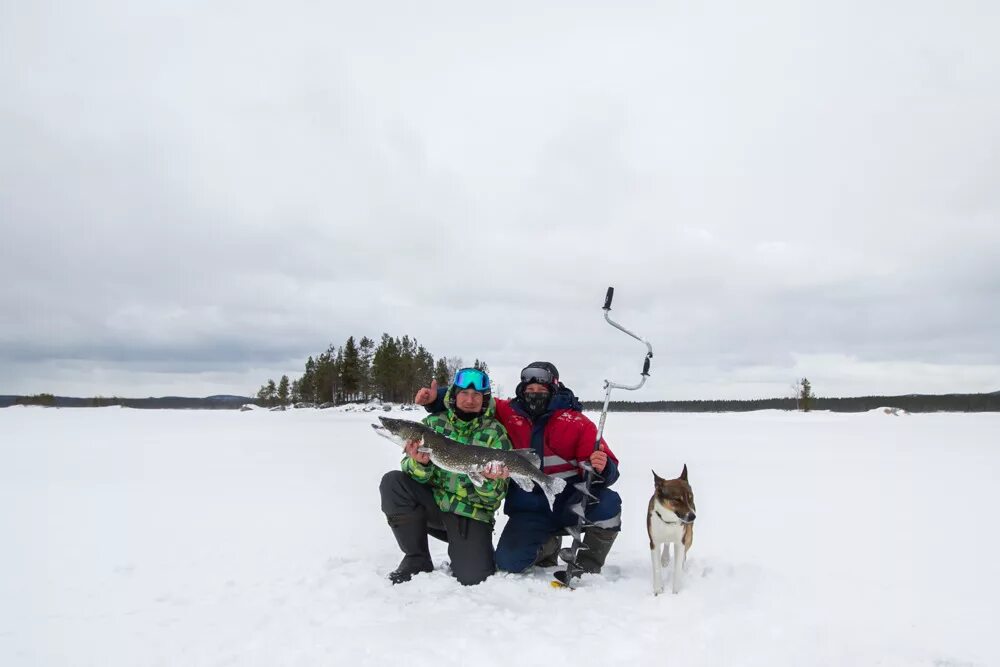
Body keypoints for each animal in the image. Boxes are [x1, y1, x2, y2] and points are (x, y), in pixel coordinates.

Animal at [648, 464, 696, 596]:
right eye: (677, 499)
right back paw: (664, 559)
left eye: (690, 497)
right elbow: (656, 568)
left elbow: (678, 568)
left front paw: (675, 593)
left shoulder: (681, 541)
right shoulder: (654, 542)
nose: (692, 516)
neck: (669, 521)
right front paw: (658, 591)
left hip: (689, 535)